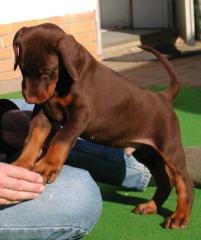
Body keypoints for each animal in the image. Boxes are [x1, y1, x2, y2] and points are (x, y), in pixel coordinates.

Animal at [12, 22, 193, 229]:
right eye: (23, 69)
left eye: (47, 72)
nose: (30, 98)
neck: (62, 82)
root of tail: (163, 97)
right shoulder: (43, 114)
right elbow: (32, 139)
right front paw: (21, 164)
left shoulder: (81, 113)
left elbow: (61, 139)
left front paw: (47, 166)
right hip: (147, 152)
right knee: (165, 180)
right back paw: (151, 206)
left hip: (168, 146)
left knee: (183, 181)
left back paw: (179, 216)